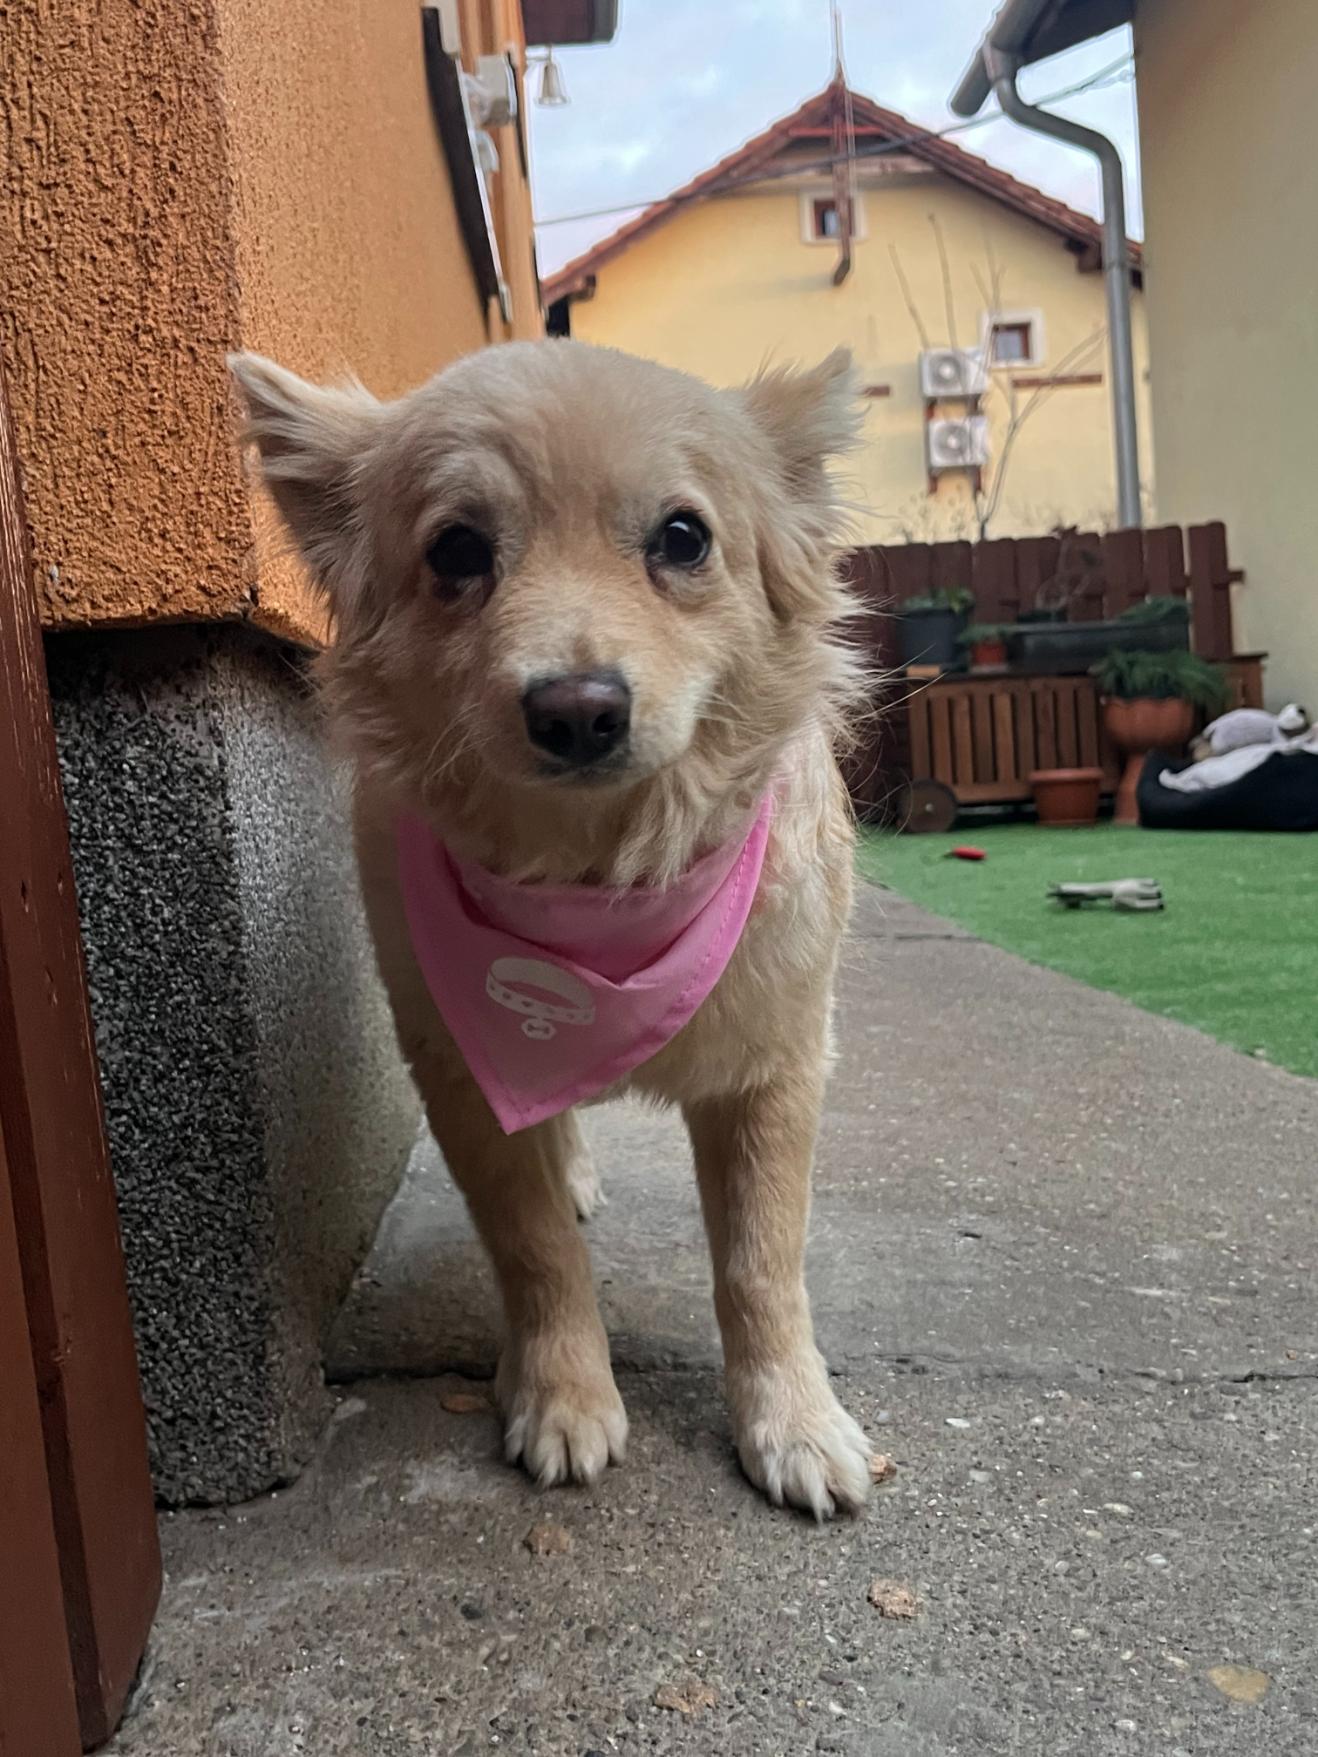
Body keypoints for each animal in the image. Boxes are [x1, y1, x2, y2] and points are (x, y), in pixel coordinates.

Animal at [229, 339, 871, 1519]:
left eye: (683, 537)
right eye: (456, 550)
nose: (577, 708)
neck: (598, 884)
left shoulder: (777, 1069)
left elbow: (762, 1262)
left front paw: (793, 1421)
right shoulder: (461, 1072)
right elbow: (532, 1249)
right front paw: (564, 1392)